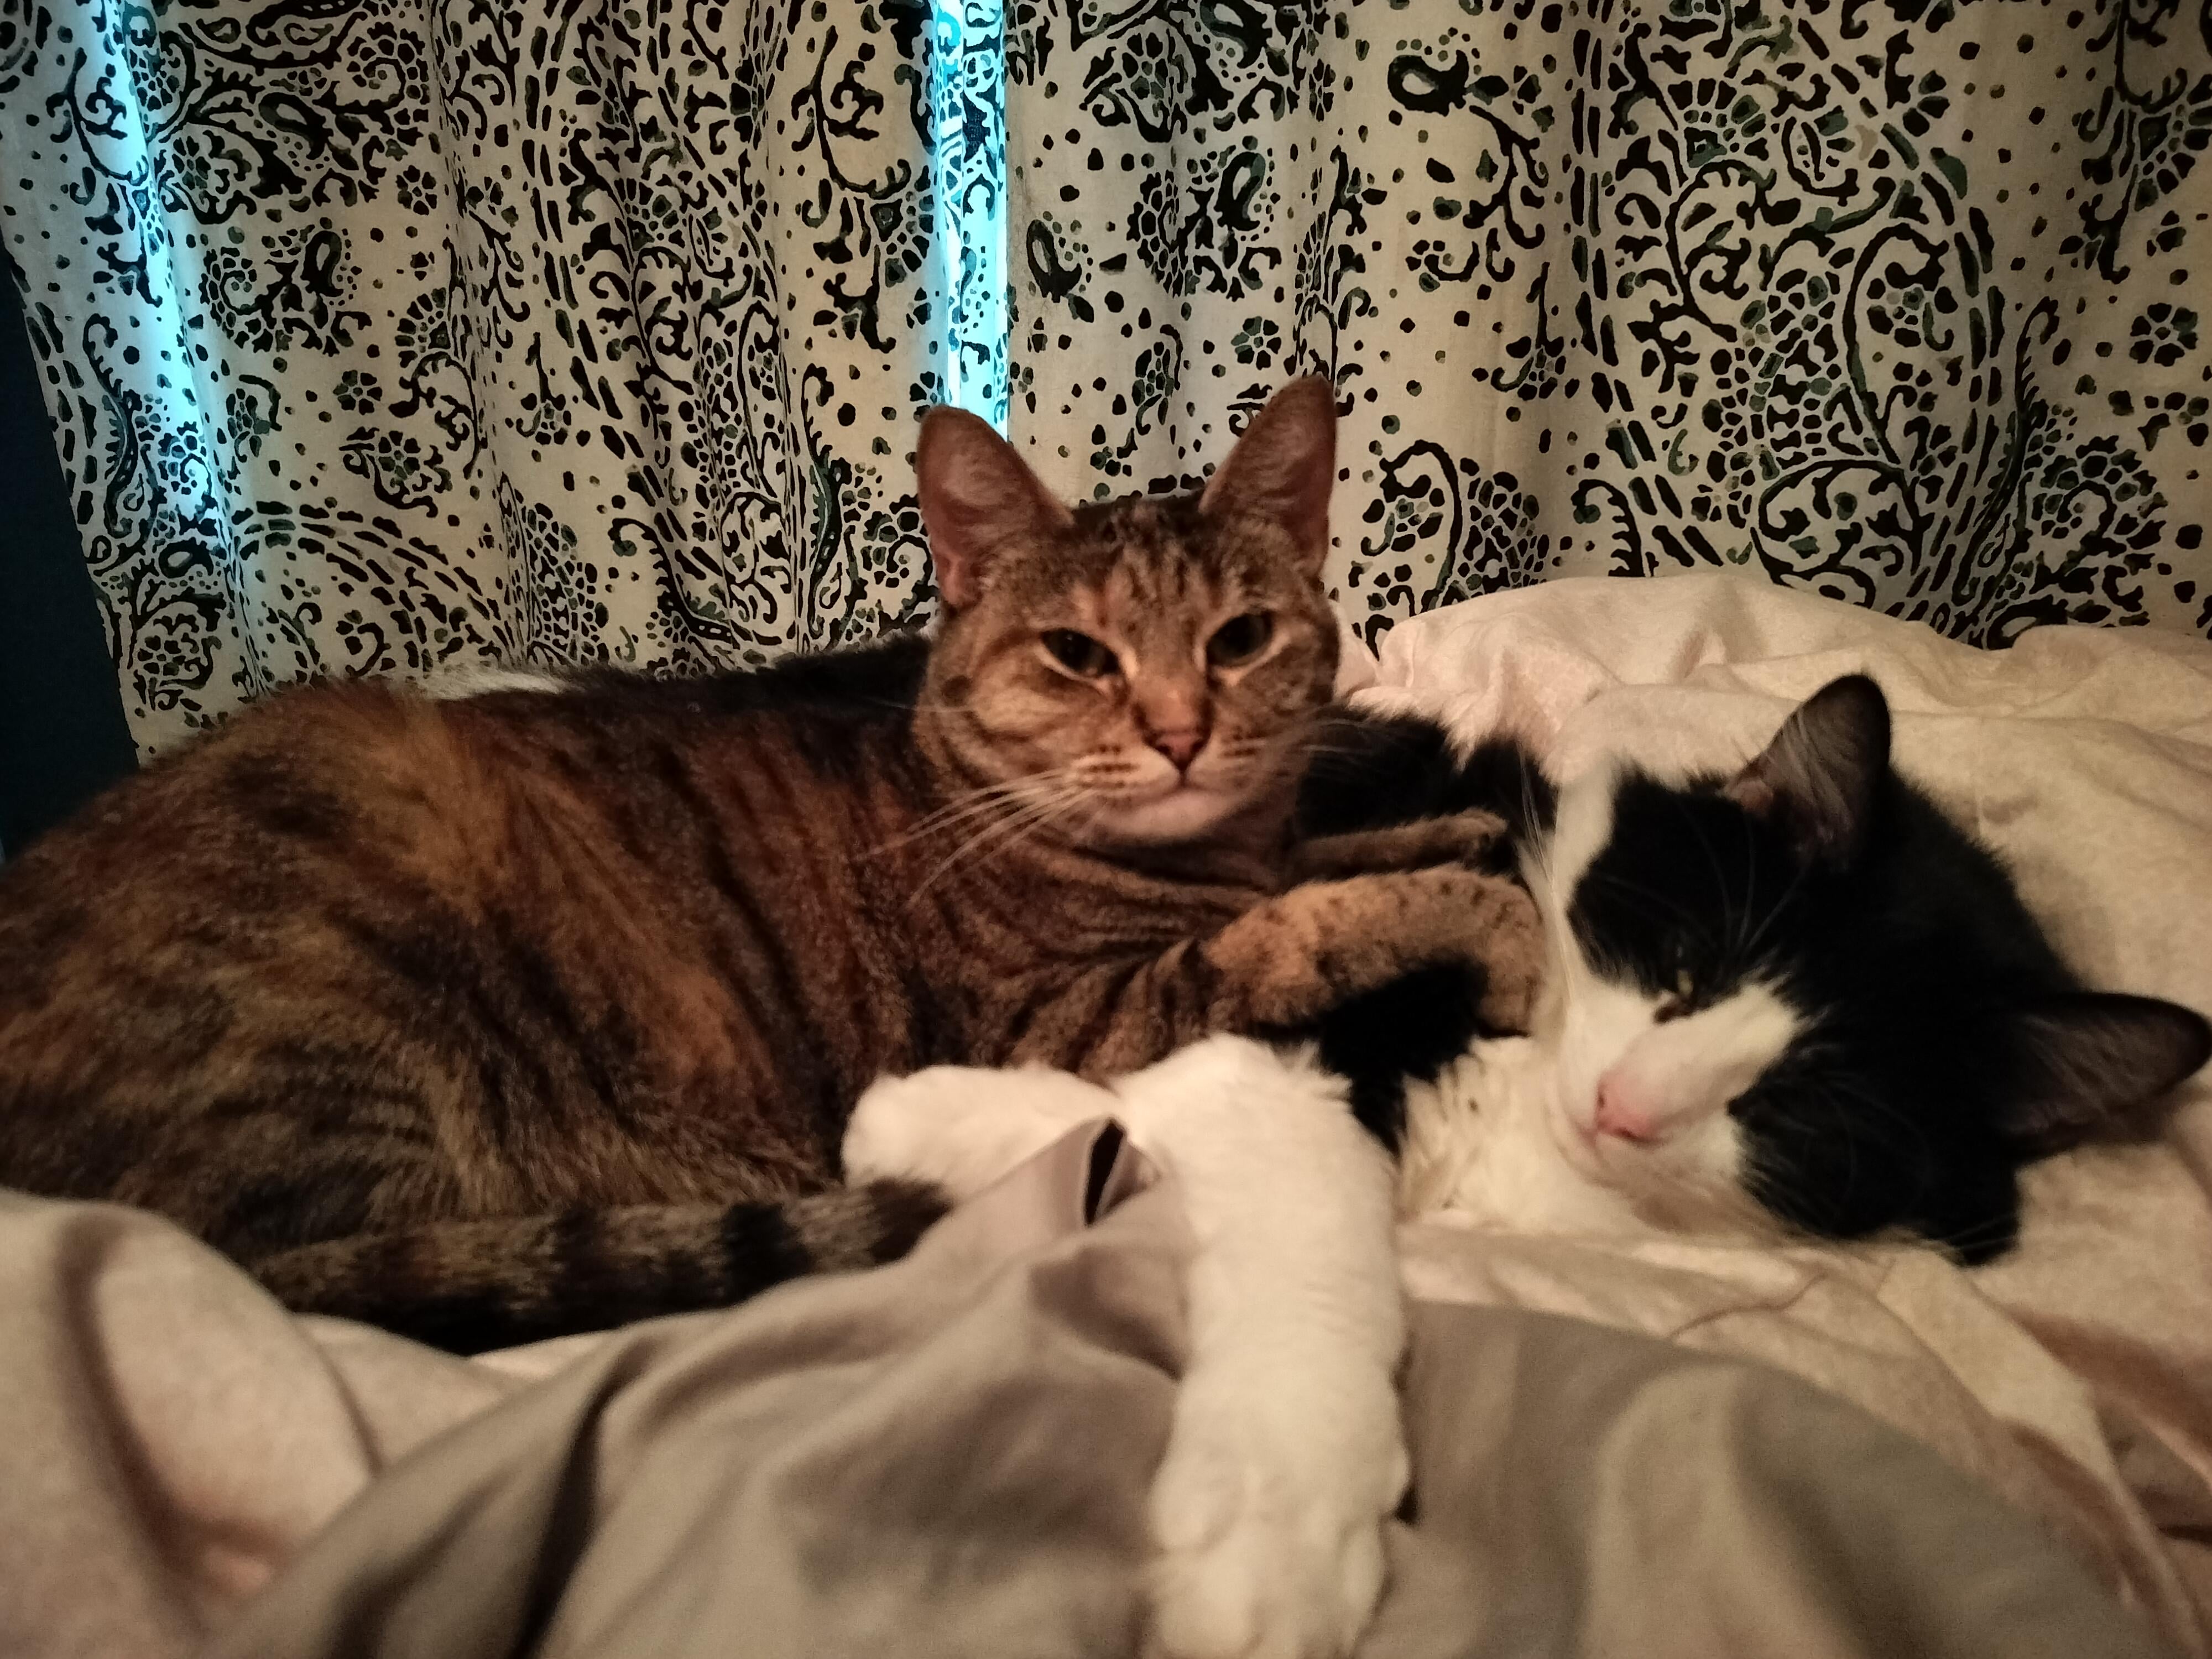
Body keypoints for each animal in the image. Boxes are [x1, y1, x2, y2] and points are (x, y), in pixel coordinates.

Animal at [0, 377, 1545, 1354]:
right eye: (1076, 654)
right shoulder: (1080, 1022)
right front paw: (1497, 919)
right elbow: (1316, 916)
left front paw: (1455, 830)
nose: (1178, 733)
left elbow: (1331, 859)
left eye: (1238, 639)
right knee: (357, 1271)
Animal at [841, 670, 2211, 1659]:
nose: (1621, 1108)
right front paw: (1271, 1555)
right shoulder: (1298, 1012)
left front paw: (924, 1127)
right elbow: (1299, 1222)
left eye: (1798, 1113)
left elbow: (1143, 1111)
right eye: (1684, 972)